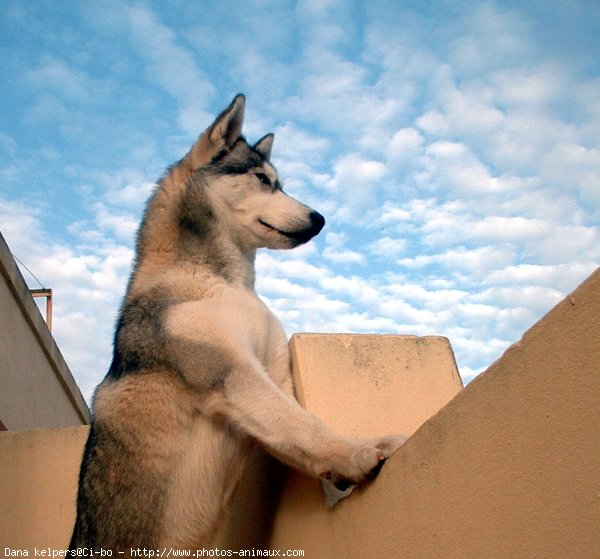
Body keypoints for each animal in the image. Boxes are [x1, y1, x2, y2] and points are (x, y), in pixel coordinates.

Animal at [70, 95, 408, 552]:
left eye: (280, 183)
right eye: (263, 179)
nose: (319, 219)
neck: (226, 283)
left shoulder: (274, 379)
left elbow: (297, 431)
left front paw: (338, 476)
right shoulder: (234, 375)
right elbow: (307, 426)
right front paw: (357, 453)